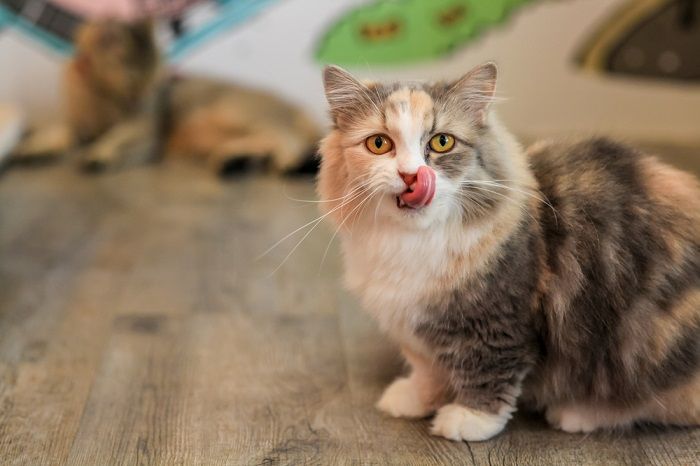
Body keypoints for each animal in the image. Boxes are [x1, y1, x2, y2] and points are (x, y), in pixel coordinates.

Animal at [15, 18, 318, 177]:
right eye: (130, 76)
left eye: (153, 79)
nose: (141, 98)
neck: (100, 96)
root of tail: (296, 105)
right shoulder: (75, 125)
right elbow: (54, 133)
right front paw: (30, 148)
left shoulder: (145, 134)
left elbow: (116, 137)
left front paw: (99, 152)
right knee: (265, 142)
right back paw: (236, 161)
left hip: (232, 111)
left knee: (288, 139)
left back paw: (287, 164)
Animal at [318, 63, 700, 442]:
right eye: (379, 144)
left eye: (442, 142)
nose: (412, 175)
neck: (413, 242)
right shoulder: (416, 329)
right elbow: (428, 370)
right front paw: (414, 399)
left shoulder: (497, 321)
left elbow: (486, 371)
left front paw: (468, 419)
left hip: (642, 348)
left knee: (654, 403)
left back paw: (578, 413)